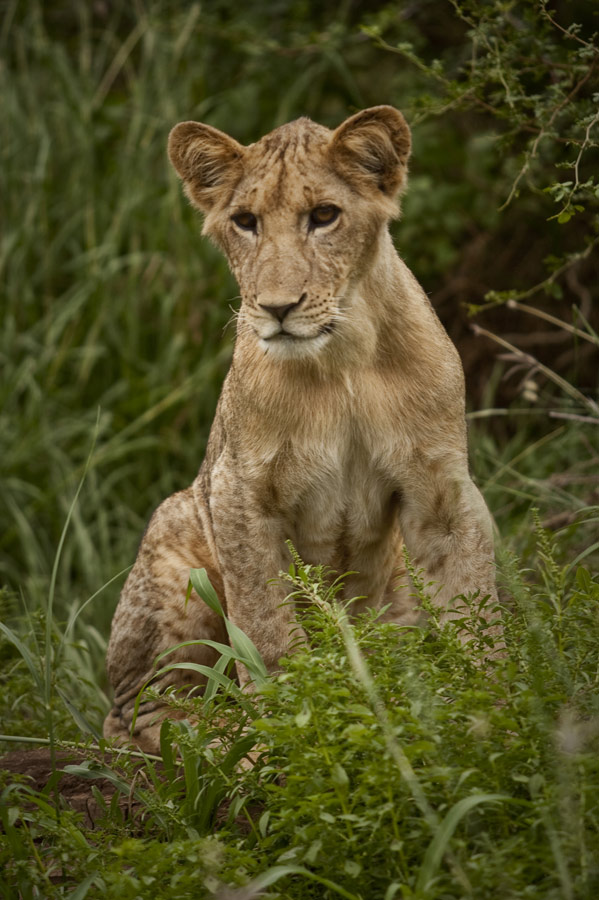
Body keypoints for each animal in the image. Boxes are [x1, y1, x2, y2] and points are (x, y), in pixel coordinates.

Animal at [104, 106, 499, 753]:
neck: (344, 361)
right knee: (142, 711)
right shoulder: (237, 494)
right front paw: (289, 735)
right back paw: (221, 748)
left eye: (324, 216)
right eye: (245, 222)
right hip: (176, 534)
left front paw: (496, 717)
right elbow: (269, 632)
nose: (277, 307)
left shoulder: (442, 493)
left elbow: (476, 614)